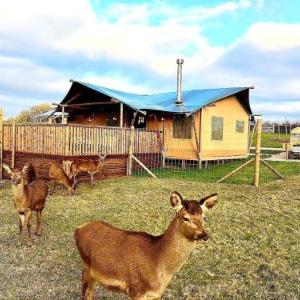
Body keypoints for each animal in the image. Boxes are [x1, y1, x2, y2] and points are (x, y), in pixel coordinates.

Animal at [74, 191, 217, 298]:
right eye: (185, 217)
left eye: (204, 217)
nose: (204, 234)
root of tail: (78, 229)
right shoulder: (136, 290)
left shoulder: (155, 295)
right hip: (87, 268)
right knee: (85, 292)